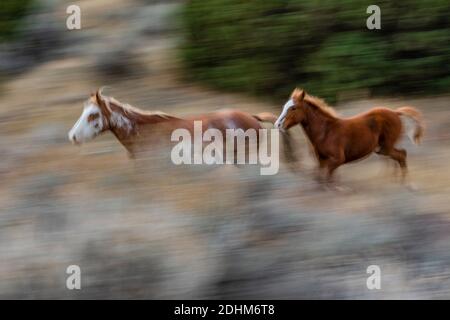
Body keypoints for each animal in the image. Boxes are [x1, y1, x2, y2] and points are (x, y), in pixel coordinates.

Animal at [274, 89, 426, 186]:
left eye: (293, 108)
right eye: (284, 106)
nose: (278, 124)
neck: (325, 132)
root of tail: (395, 112)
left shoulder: (338, 159)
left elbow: (328, 179)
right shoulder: (321, 161)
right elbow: (320, 178)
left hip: (386, 147)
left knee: (402, 155)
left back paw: (405, 183)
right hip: (383, 149)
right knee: (398, 157)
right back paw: (394, 181)